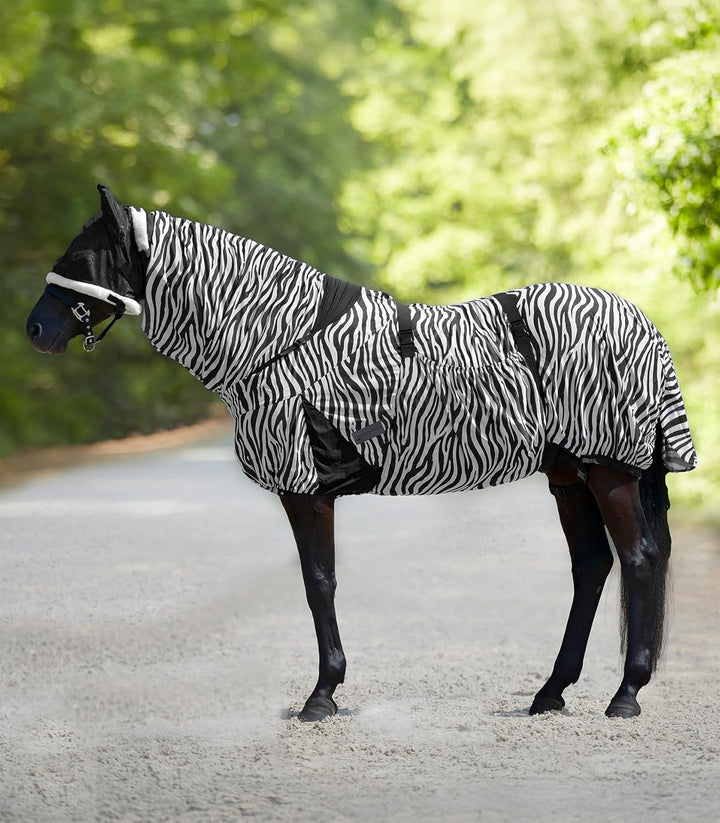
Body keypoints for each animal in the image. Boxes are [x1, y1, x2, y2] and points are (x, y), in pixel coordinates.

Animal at [27, 185, 697, 721]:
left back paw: (625, 696)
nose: (35, 330)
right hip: (570, 476)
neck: (278, 340)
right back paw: (550, 692)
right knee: (593, 567)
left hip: (609, 472)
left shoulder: (304, 489)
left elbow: (317, 582)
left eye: (80, 259)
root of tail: (642, 322)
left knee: (638, 560)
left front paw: (321, 696)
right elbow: (319, 582)